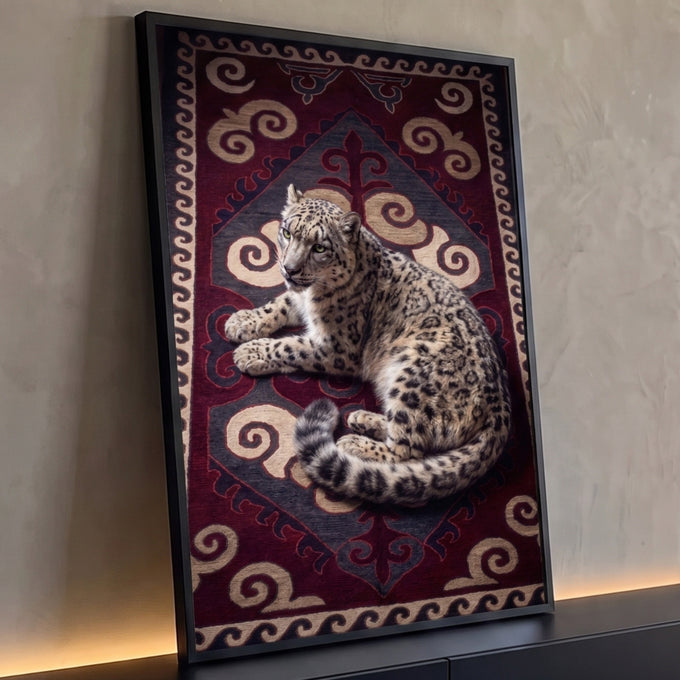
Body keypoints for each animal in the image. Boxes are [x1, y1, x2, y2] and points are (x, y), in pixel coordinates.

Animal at [225, 184, 511, 506]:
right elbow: (279, 304)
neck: (313, 295)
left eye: (319, 248)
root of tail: (500, 405)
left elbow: (290, 347)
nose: (290, 269)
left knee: (408, 450)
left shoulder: (337, 347)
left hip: (413, 372)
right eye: (287, 232)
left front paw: (250, 352)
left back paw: (353, 442)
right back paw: (362, 418)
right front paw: (242, 321)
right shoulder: (298, 299)